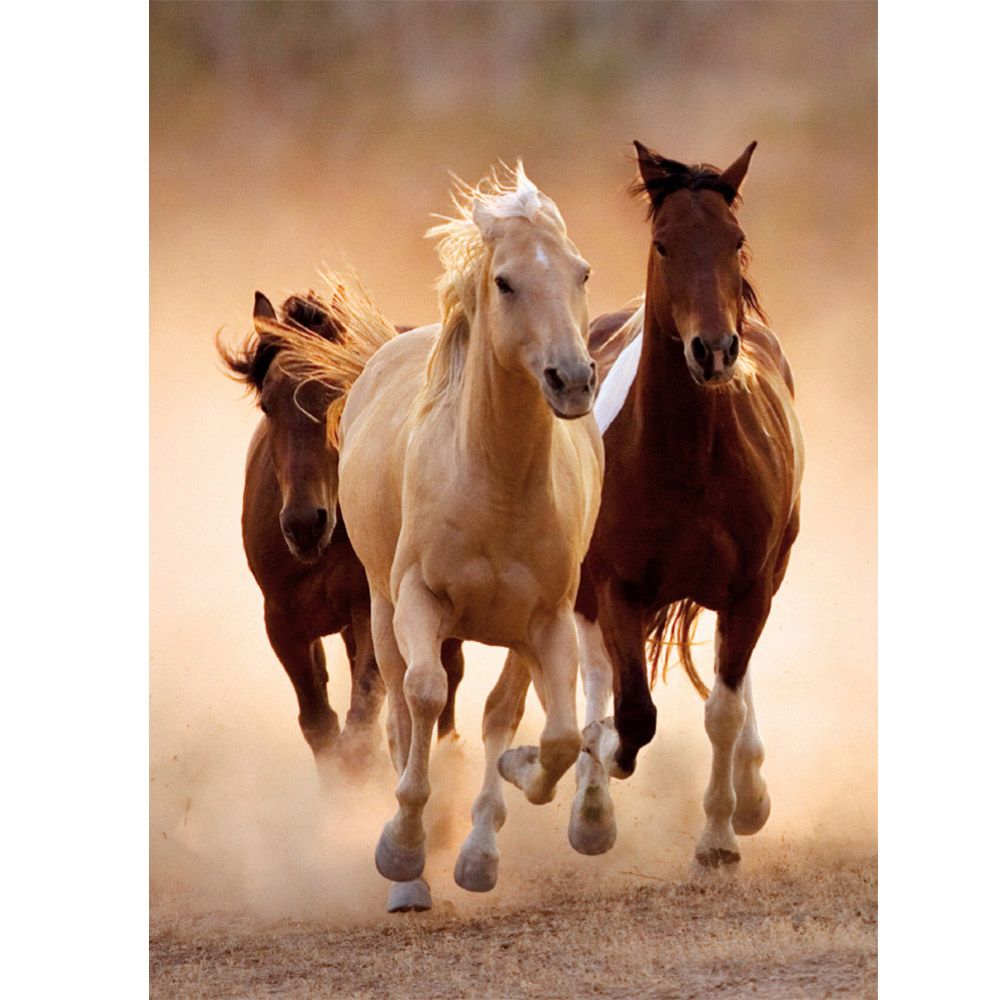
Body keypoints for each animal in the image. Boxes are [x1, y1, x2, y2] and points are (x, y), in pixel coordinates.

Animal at [218, 290, 465, 786]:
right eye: (267, 405)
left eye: (337, 394)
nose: (303, 524)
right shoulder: (283, 622)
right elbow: (320, 725)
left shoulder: (369, 608)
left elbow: (361, 720)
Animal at [568, 141, 804, 867]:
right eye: (664, 244)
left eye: (736, 240)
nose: (716, 350)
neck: (690, 457)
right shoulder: (617, 586)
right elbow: (632, 713)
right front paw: (603, 764)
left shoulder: (750, 586)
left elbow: (723, 708)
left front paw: (721, 835)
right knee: (594, 673)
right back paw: (590, 807)